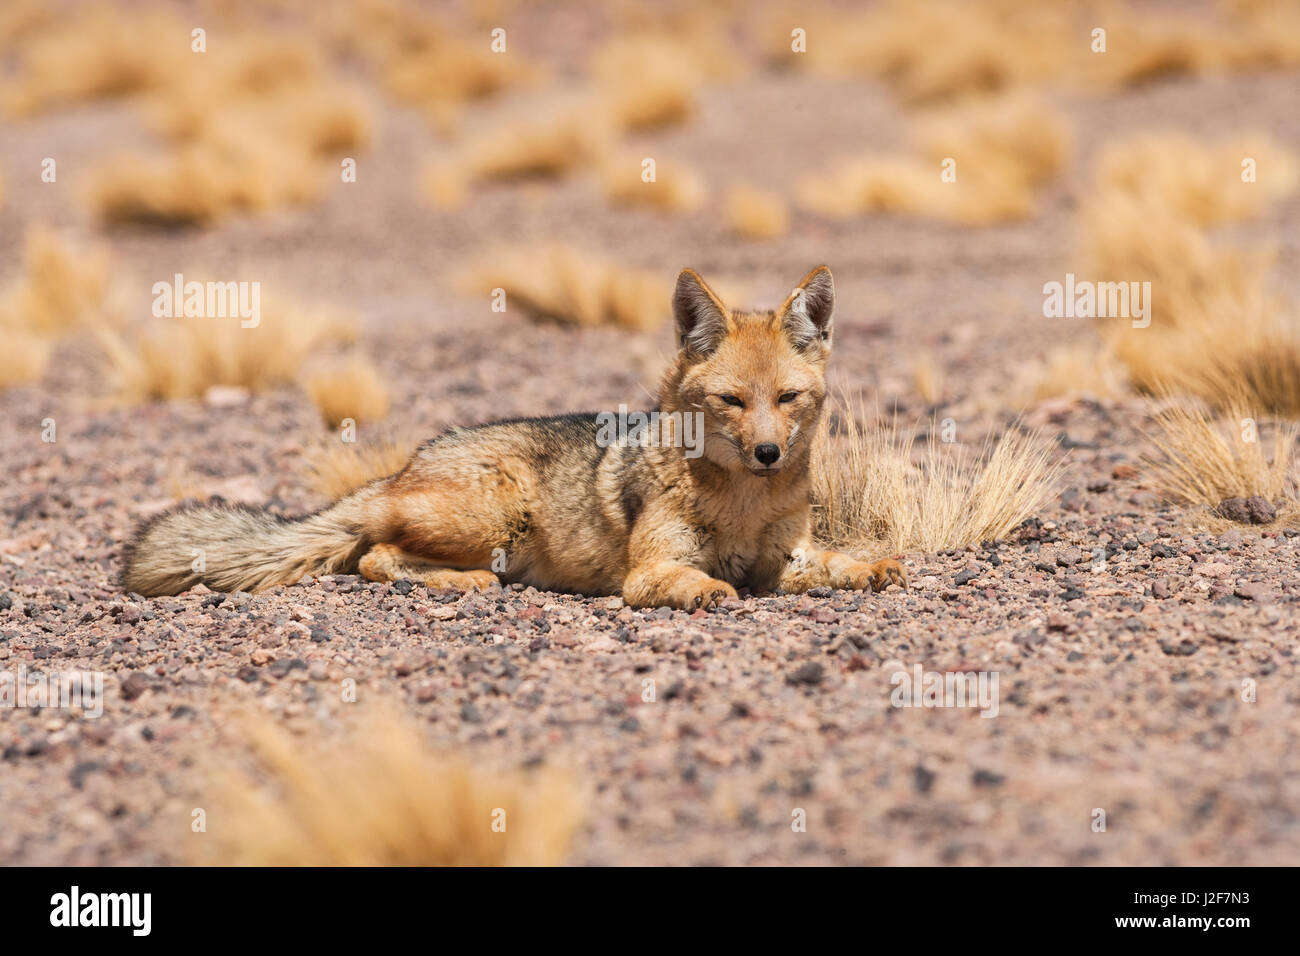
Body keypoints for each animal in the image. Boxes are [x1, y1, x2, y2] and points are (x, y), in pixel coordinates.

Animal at [121, 265, 907, 608]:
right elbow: (688, 577)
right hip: (494, 517)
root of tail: (401, 467)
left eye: (787, 399)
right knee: (374, 557)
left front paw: (870, 567)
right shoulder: (649, 570)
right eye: (731, 402)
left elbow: (831, 562)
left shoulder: (785, 556)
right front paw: (708, 590)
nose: (769, 454)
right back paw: (462, 582)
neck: (743, 502)